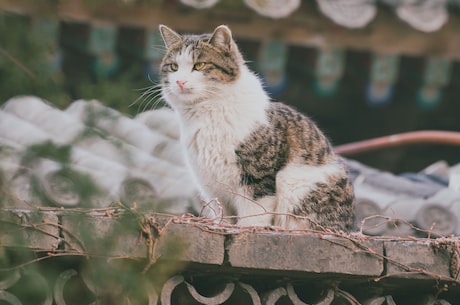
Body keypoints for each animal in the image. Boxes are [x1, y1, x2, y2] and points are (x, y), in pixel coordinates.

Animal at [158, 24, 356, 230]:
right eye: (174, 67)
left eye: (199, 65)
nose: (180, 81)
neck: (206, 113)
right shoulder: (210, 185)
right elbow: (222, 213)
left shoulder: (257, 179)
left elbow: (253, 215)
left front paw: (246, 228)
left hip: (295, 184)